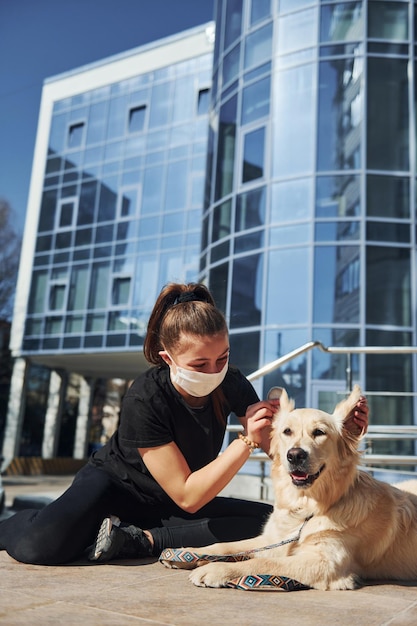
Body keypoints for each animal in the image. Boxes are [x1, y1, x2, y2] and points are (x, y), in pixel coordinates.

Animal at [164, 386, 416, 588]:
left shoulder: (325, 562)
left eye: (319, 432)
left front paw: (216, 569)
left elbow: (262, 561)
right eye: (287, 431)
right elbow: (226, 546)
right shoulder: (270, 539)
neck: (306, 507)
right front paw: (191, 552)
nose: (295, 455)